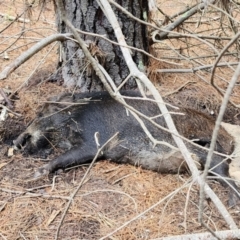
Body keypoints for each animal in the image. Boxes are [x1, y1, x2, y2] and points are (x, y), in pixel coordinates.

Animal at [13, 91, 240, 203]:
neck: (73, 117)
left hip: (209, 151)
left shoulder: (95, 142)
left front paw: (36, 174)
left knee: (225, 173)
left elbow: (67, 156)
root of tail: (230, 140)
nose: (16, 142)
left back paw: (232, 202)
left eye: (41, 112)